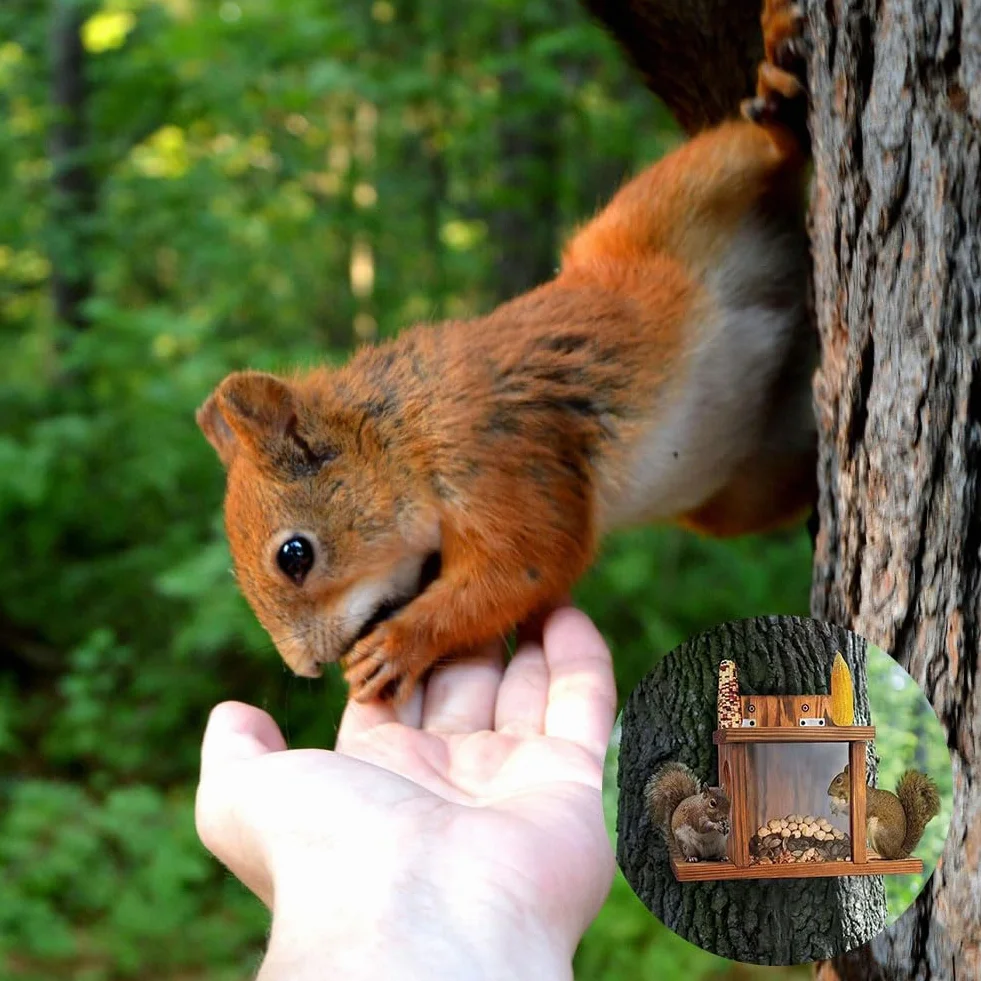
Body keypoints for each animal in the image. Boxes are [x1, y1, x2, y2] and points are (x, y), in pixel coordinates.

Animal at [197, 0, 816, 703]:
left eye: (294, 555)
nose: (305, 669)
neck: (404, 432)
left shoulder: (496, 452)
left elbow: (529, 561)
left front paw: (399, 645)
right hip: (739, 489)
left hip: (678, 196)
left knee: (759, 146)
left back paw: (777, 85)